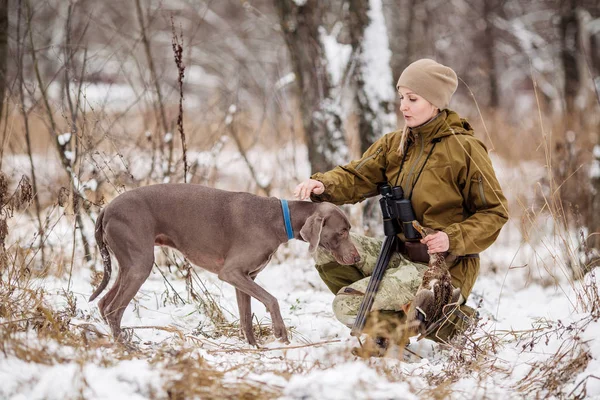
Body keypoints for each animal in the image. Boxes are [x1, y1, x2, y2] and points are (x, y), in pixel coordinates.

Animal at [89, 184, 360, 344]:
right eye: (343, 231)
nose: (357, 258)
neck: (277, 219)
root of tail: (107, 208)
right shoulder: (231, 273)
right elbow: (272, 299)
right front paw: (280, 333)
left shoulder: (245, 278)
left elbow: (246, 318)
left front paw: (253, 347)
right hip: (140, 264)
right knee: (113, 309)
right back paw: (126, 347)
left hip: (129, 265)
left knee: (104, 303)